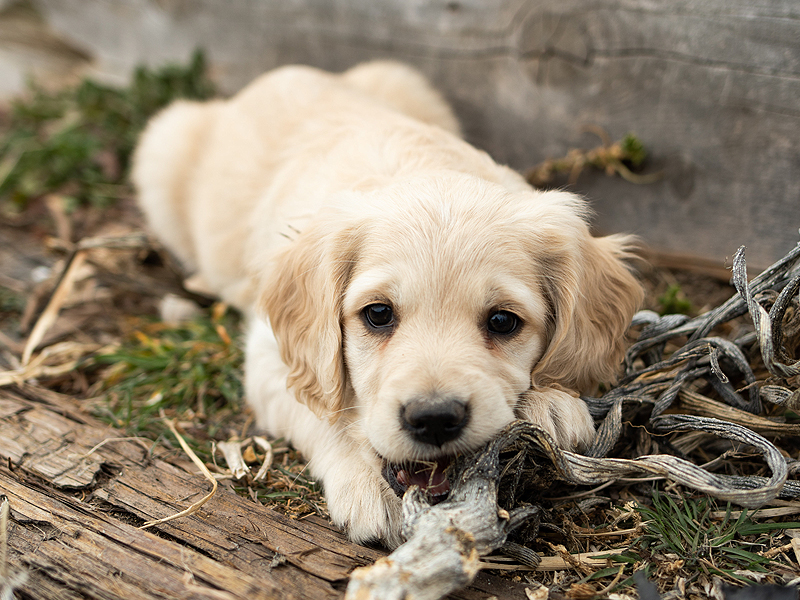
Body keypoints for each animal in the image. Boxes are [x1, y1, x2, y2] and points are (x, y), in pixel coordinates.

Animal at [133, 61, 644, 548]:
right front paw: (367, 484)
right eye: (378, 314)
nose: (434, 420)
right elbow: (322, 410)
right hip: (161, 147)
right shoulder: (270, 355)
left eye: (503, 321)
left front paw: (553, 400)